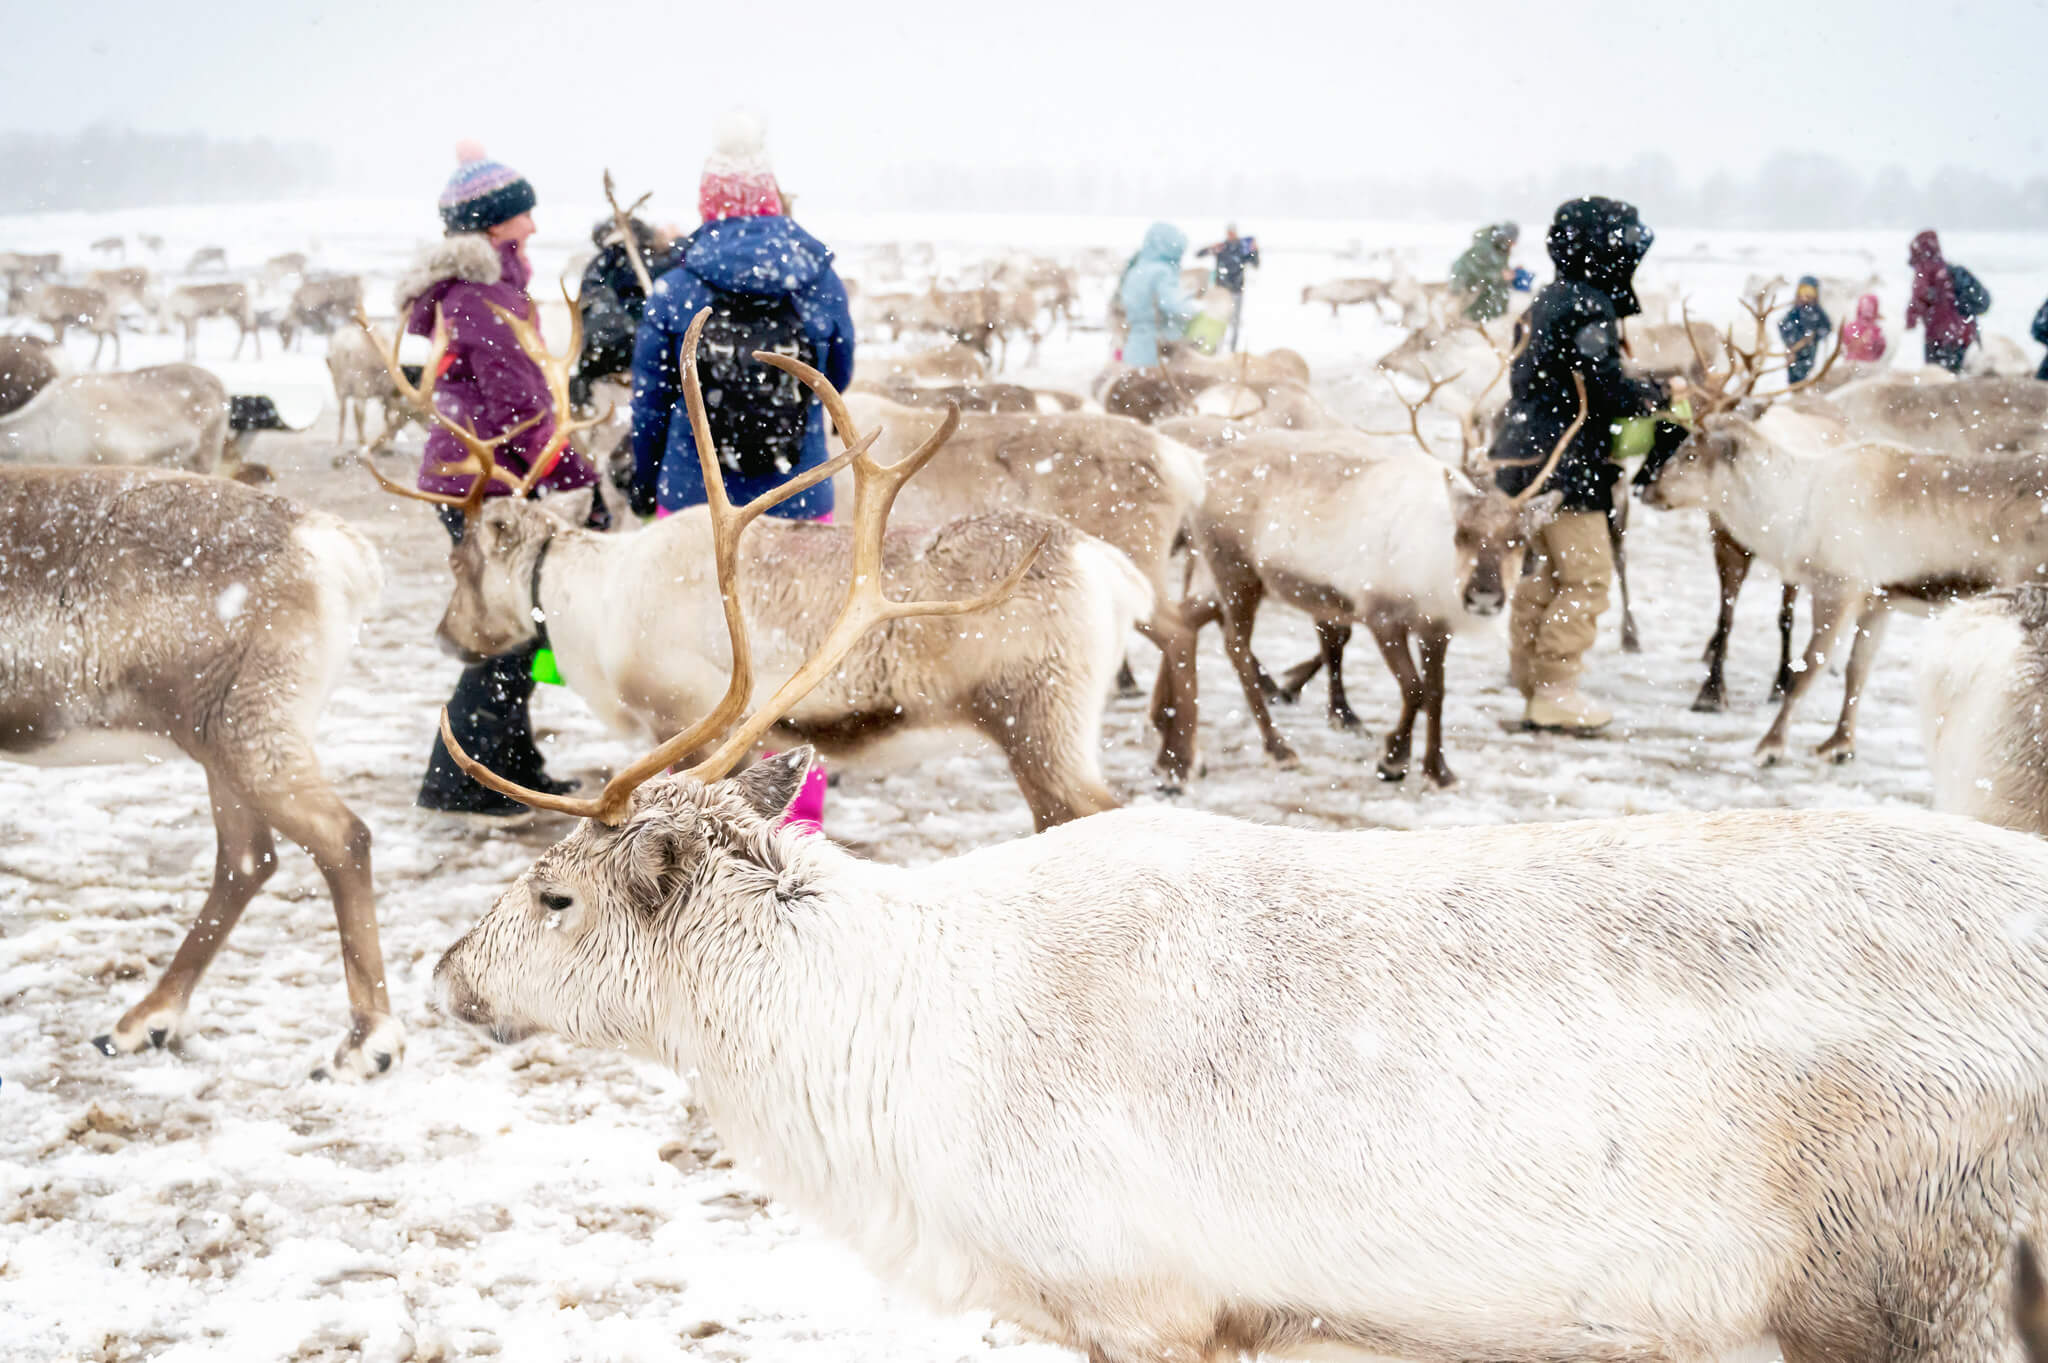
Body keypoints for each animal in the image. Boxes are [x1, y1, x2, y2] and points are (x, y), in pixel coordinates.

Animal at [0, 464, 392, 1077]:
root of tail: (328, 542)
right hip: (219, 741)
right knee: (248, 859)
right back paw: (146, 1023)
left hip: (248, 731)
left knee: (339, 838)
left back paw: (366, 1042)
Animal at [364, 304, 1146, 831]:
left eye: (460, 558)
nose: (444, 636)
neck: (591, 599)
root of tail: (1107, 564)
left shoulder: (682, 721)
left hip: (1041, 726)